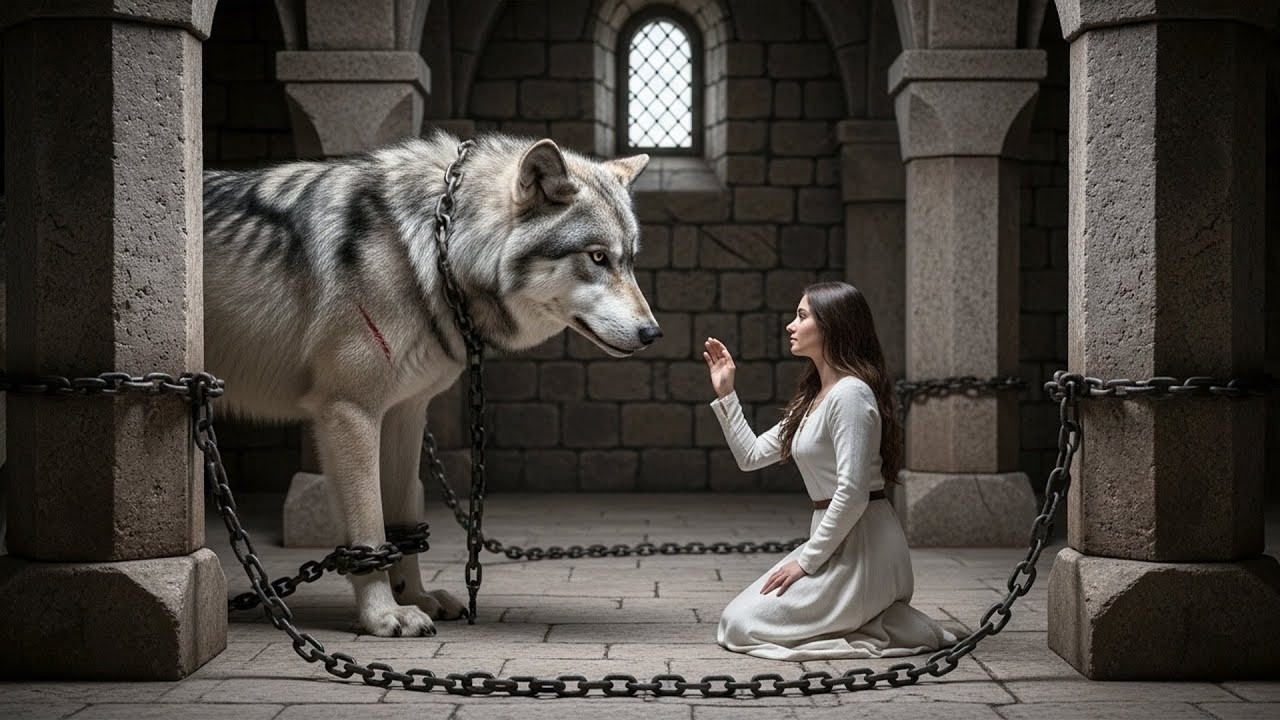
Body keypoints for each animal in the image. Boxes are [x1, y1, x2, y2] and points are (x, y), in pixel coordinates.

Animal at [203, 131, 660, 636]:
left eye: (630, 260)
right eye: (597, 257)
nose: (652, 333)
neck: (428, 252)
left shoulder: (404, 414)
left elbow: (403, 522)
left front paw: (416, 597)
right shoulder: (349, 412)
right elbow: (370, 529)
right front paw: (383, 615)